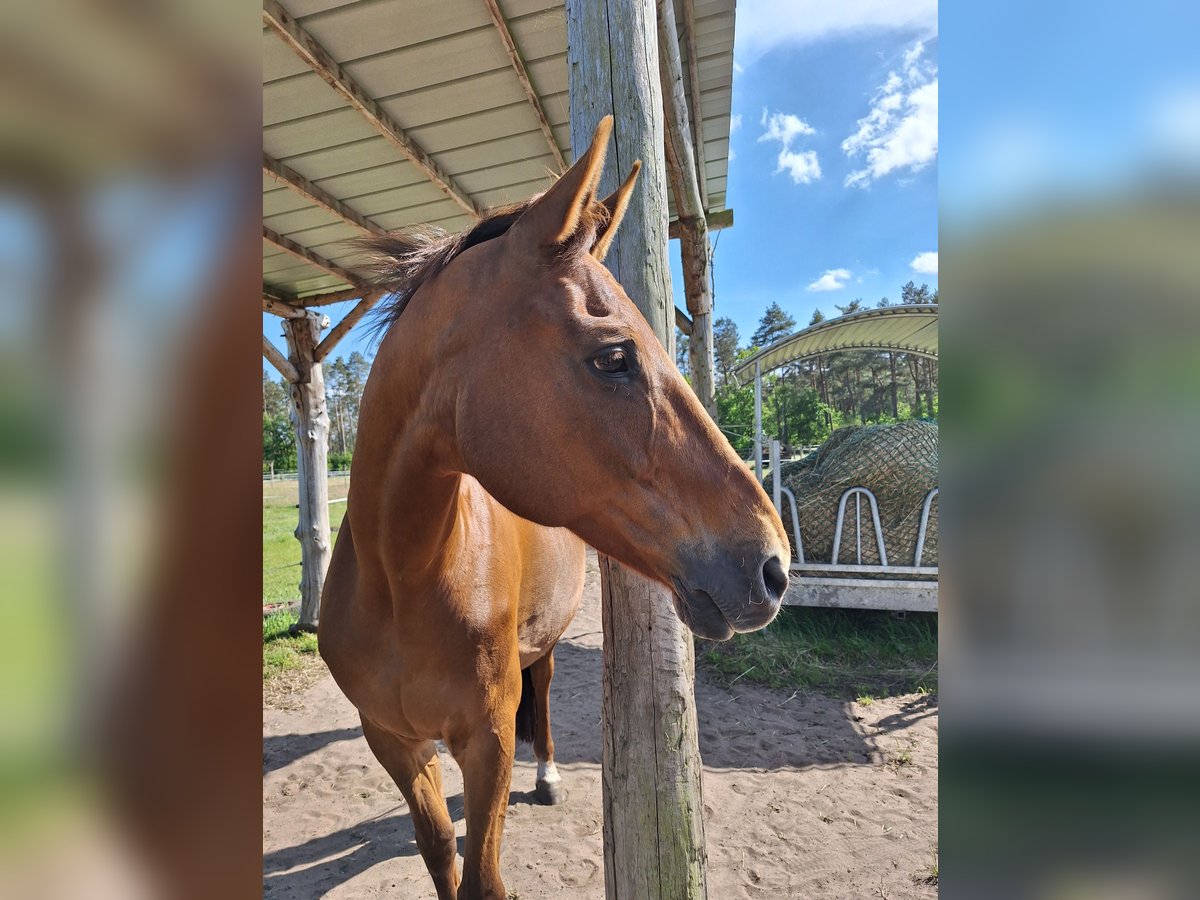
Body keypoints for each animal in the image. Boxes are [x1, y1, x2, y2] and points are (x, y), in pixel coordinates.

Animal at [318, 116, 791, 900]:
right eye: (613, 357)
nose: (774, 565)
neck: (400, 579)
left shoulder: (486, 742)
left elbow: (483, 877)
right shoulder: (391, 739)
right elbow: (439, 851)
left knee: (539, 691)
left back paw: (547, 776)